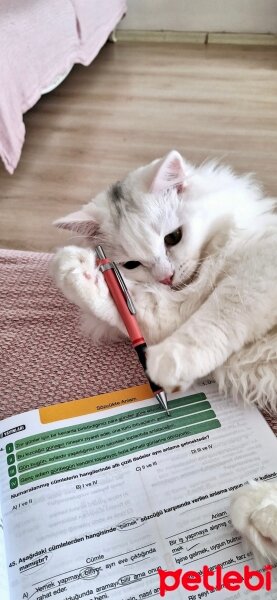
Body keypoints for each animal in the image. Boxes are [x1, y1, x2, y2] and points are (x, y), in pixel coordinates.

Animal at [51, 150, 276, 564]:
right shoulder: (170, 310)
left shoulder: (257, 269)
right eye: (131, 265)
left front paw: (169, 362)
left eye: (173, 238)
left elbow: (220, 312)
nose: (167, 276)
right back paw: (255, 513)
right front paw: (74, 268)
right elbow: (136, 308)